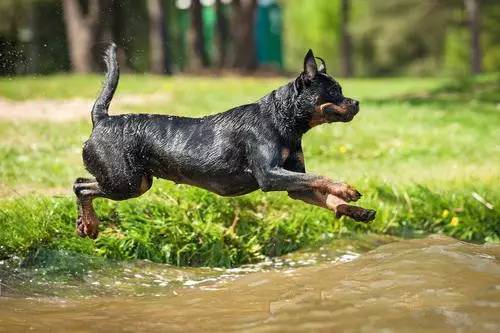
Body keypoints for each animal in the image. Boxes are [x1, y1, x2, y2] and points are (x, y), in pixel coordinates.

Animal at [74, 44, 376, 237]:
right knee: (82, 187)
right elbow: (320, 177)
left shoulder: (294, 185)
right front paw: (346, 188)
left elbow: (326, 197)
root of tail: (102, 119)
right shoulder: (270, 175)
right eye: (334, 91)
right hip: (126, 182)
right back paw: (90, 224)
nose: (357, 103)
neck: (282, 118)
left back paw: (84, 224)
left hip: (134, 181)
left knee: (82, 183)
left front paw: (357, 211)